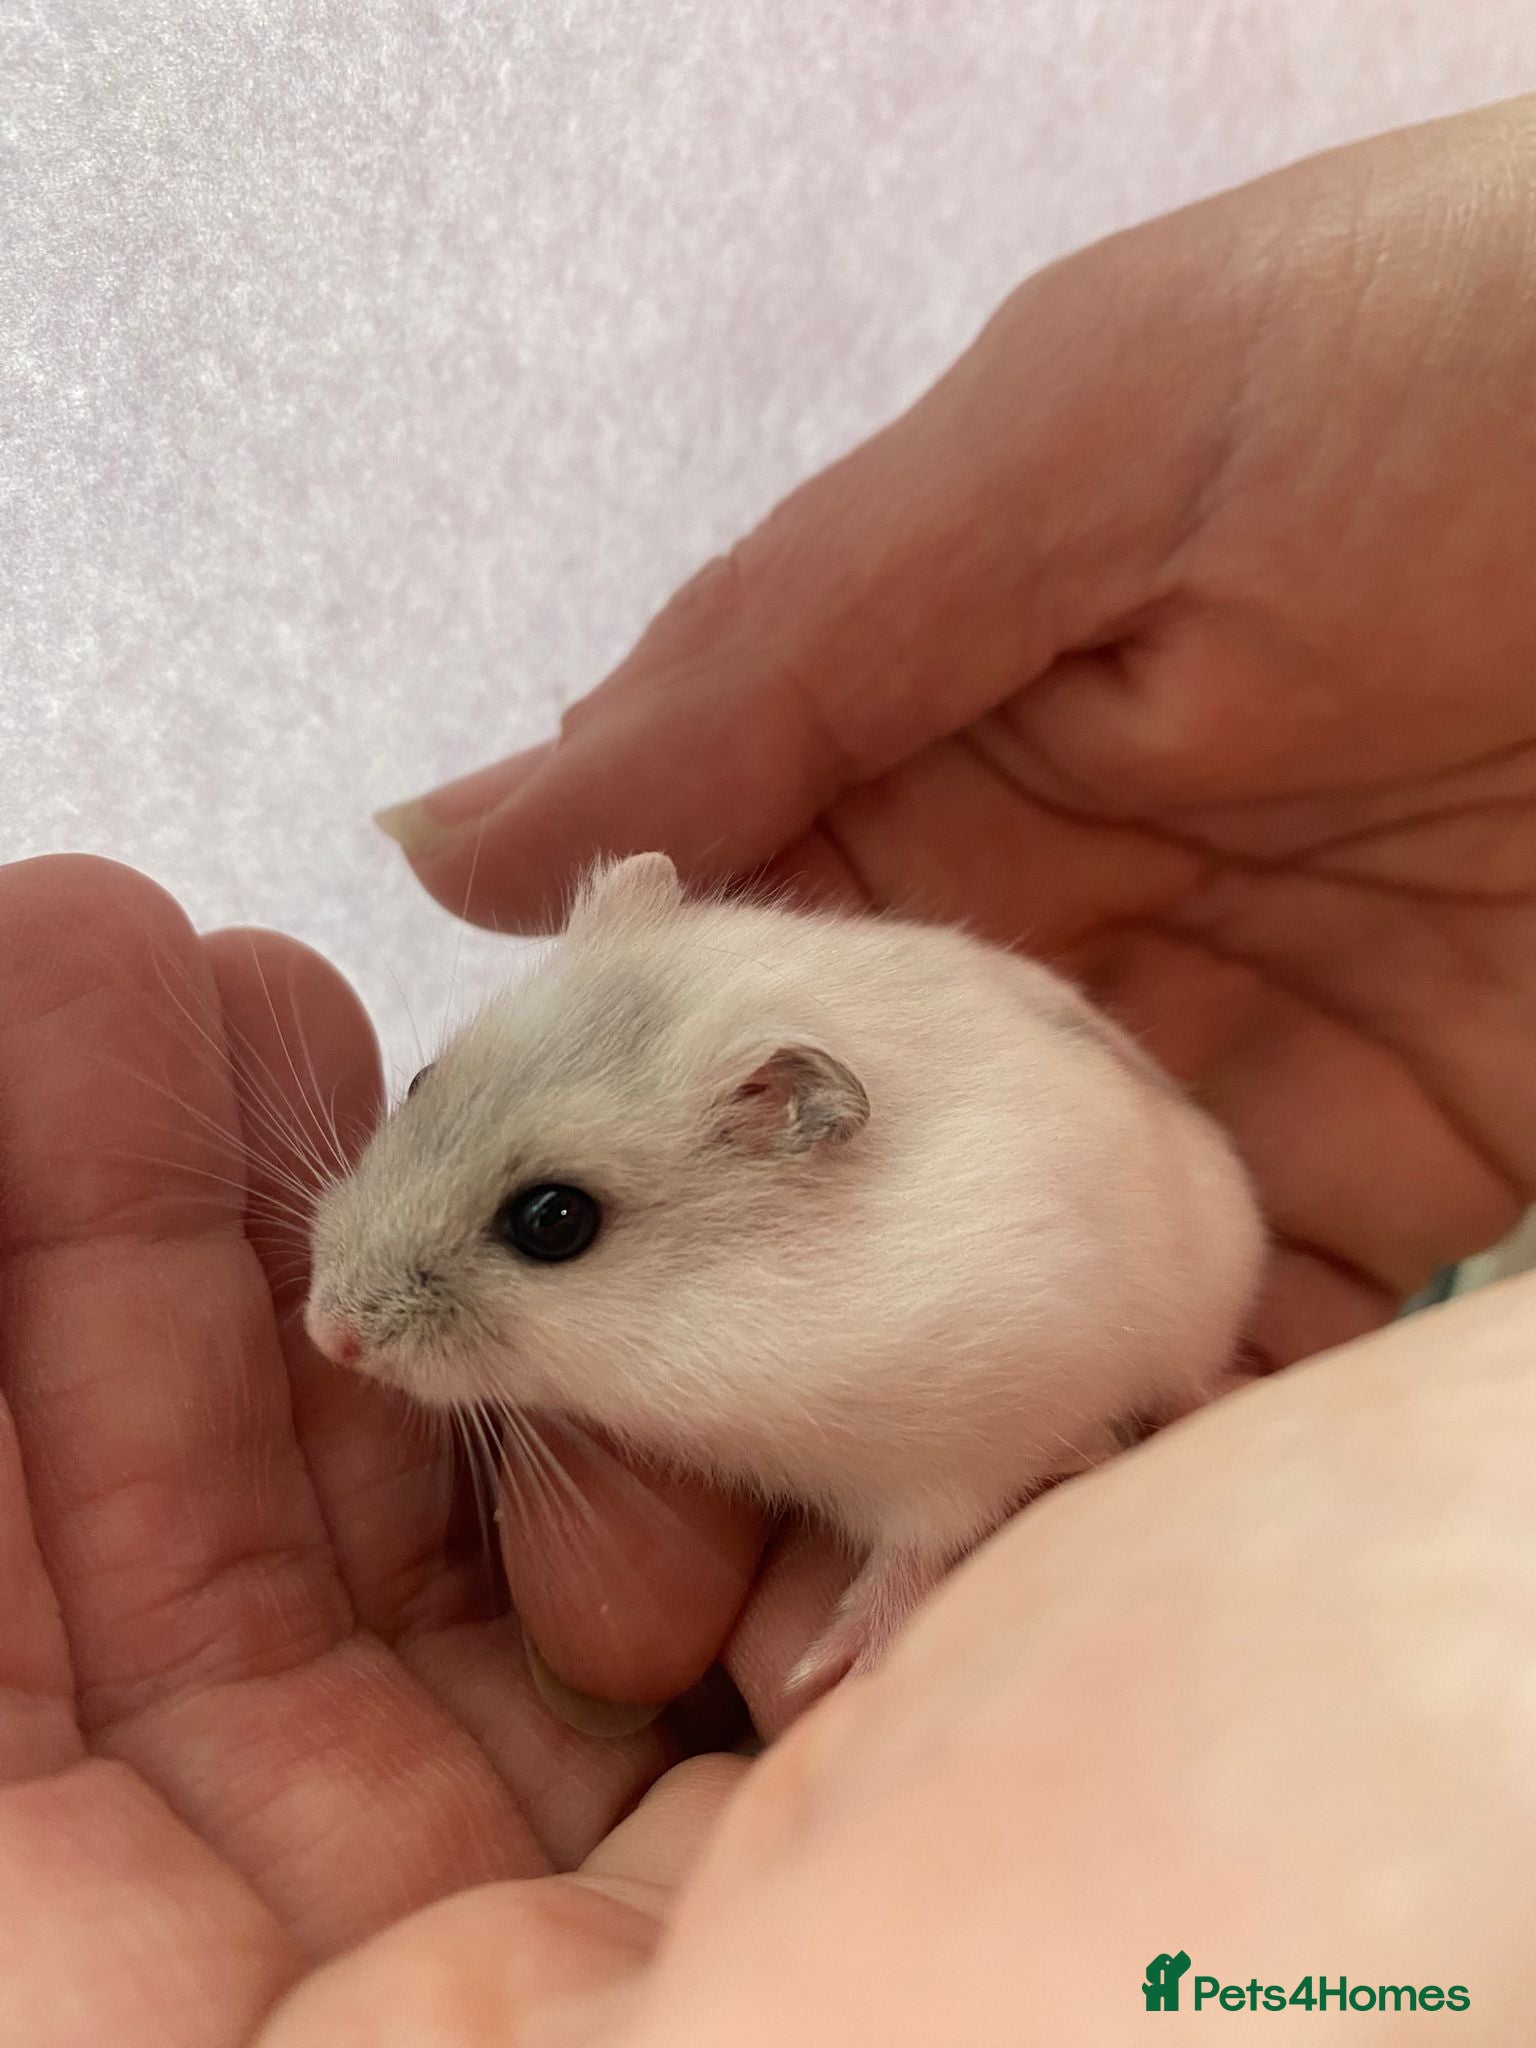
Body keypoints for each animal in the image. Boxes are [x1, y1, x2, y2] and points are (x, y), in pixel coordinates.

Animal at [305, 853, 1265, 1695]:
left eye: (555, 1221)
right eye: (421, 1082)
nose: (325, 1335)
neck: (718, 1289)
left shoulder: (969, 1437)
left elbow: (916, 1548)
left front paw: (822, 1670)